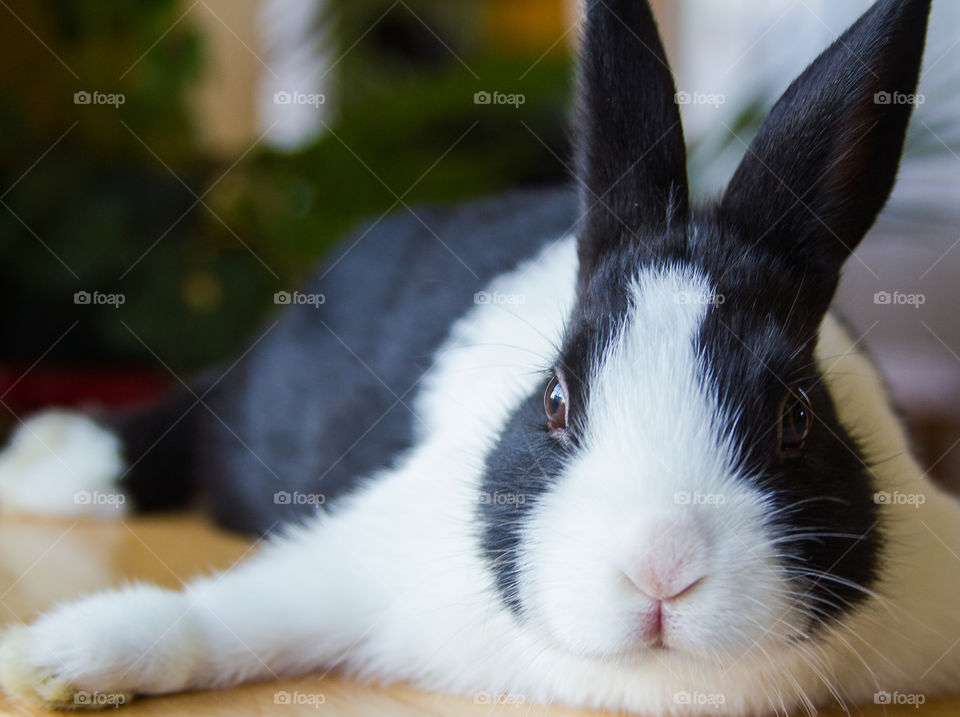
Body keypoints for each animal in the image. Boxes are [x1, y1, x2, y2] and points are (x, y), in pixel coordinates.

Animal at [1, 0, 960, 712]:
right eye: (556, 401)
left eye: (797, 416)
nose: (660, 568)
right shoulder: (360, 555)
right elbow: (224, 616)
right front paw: (56, 657)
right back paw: (43, 457)